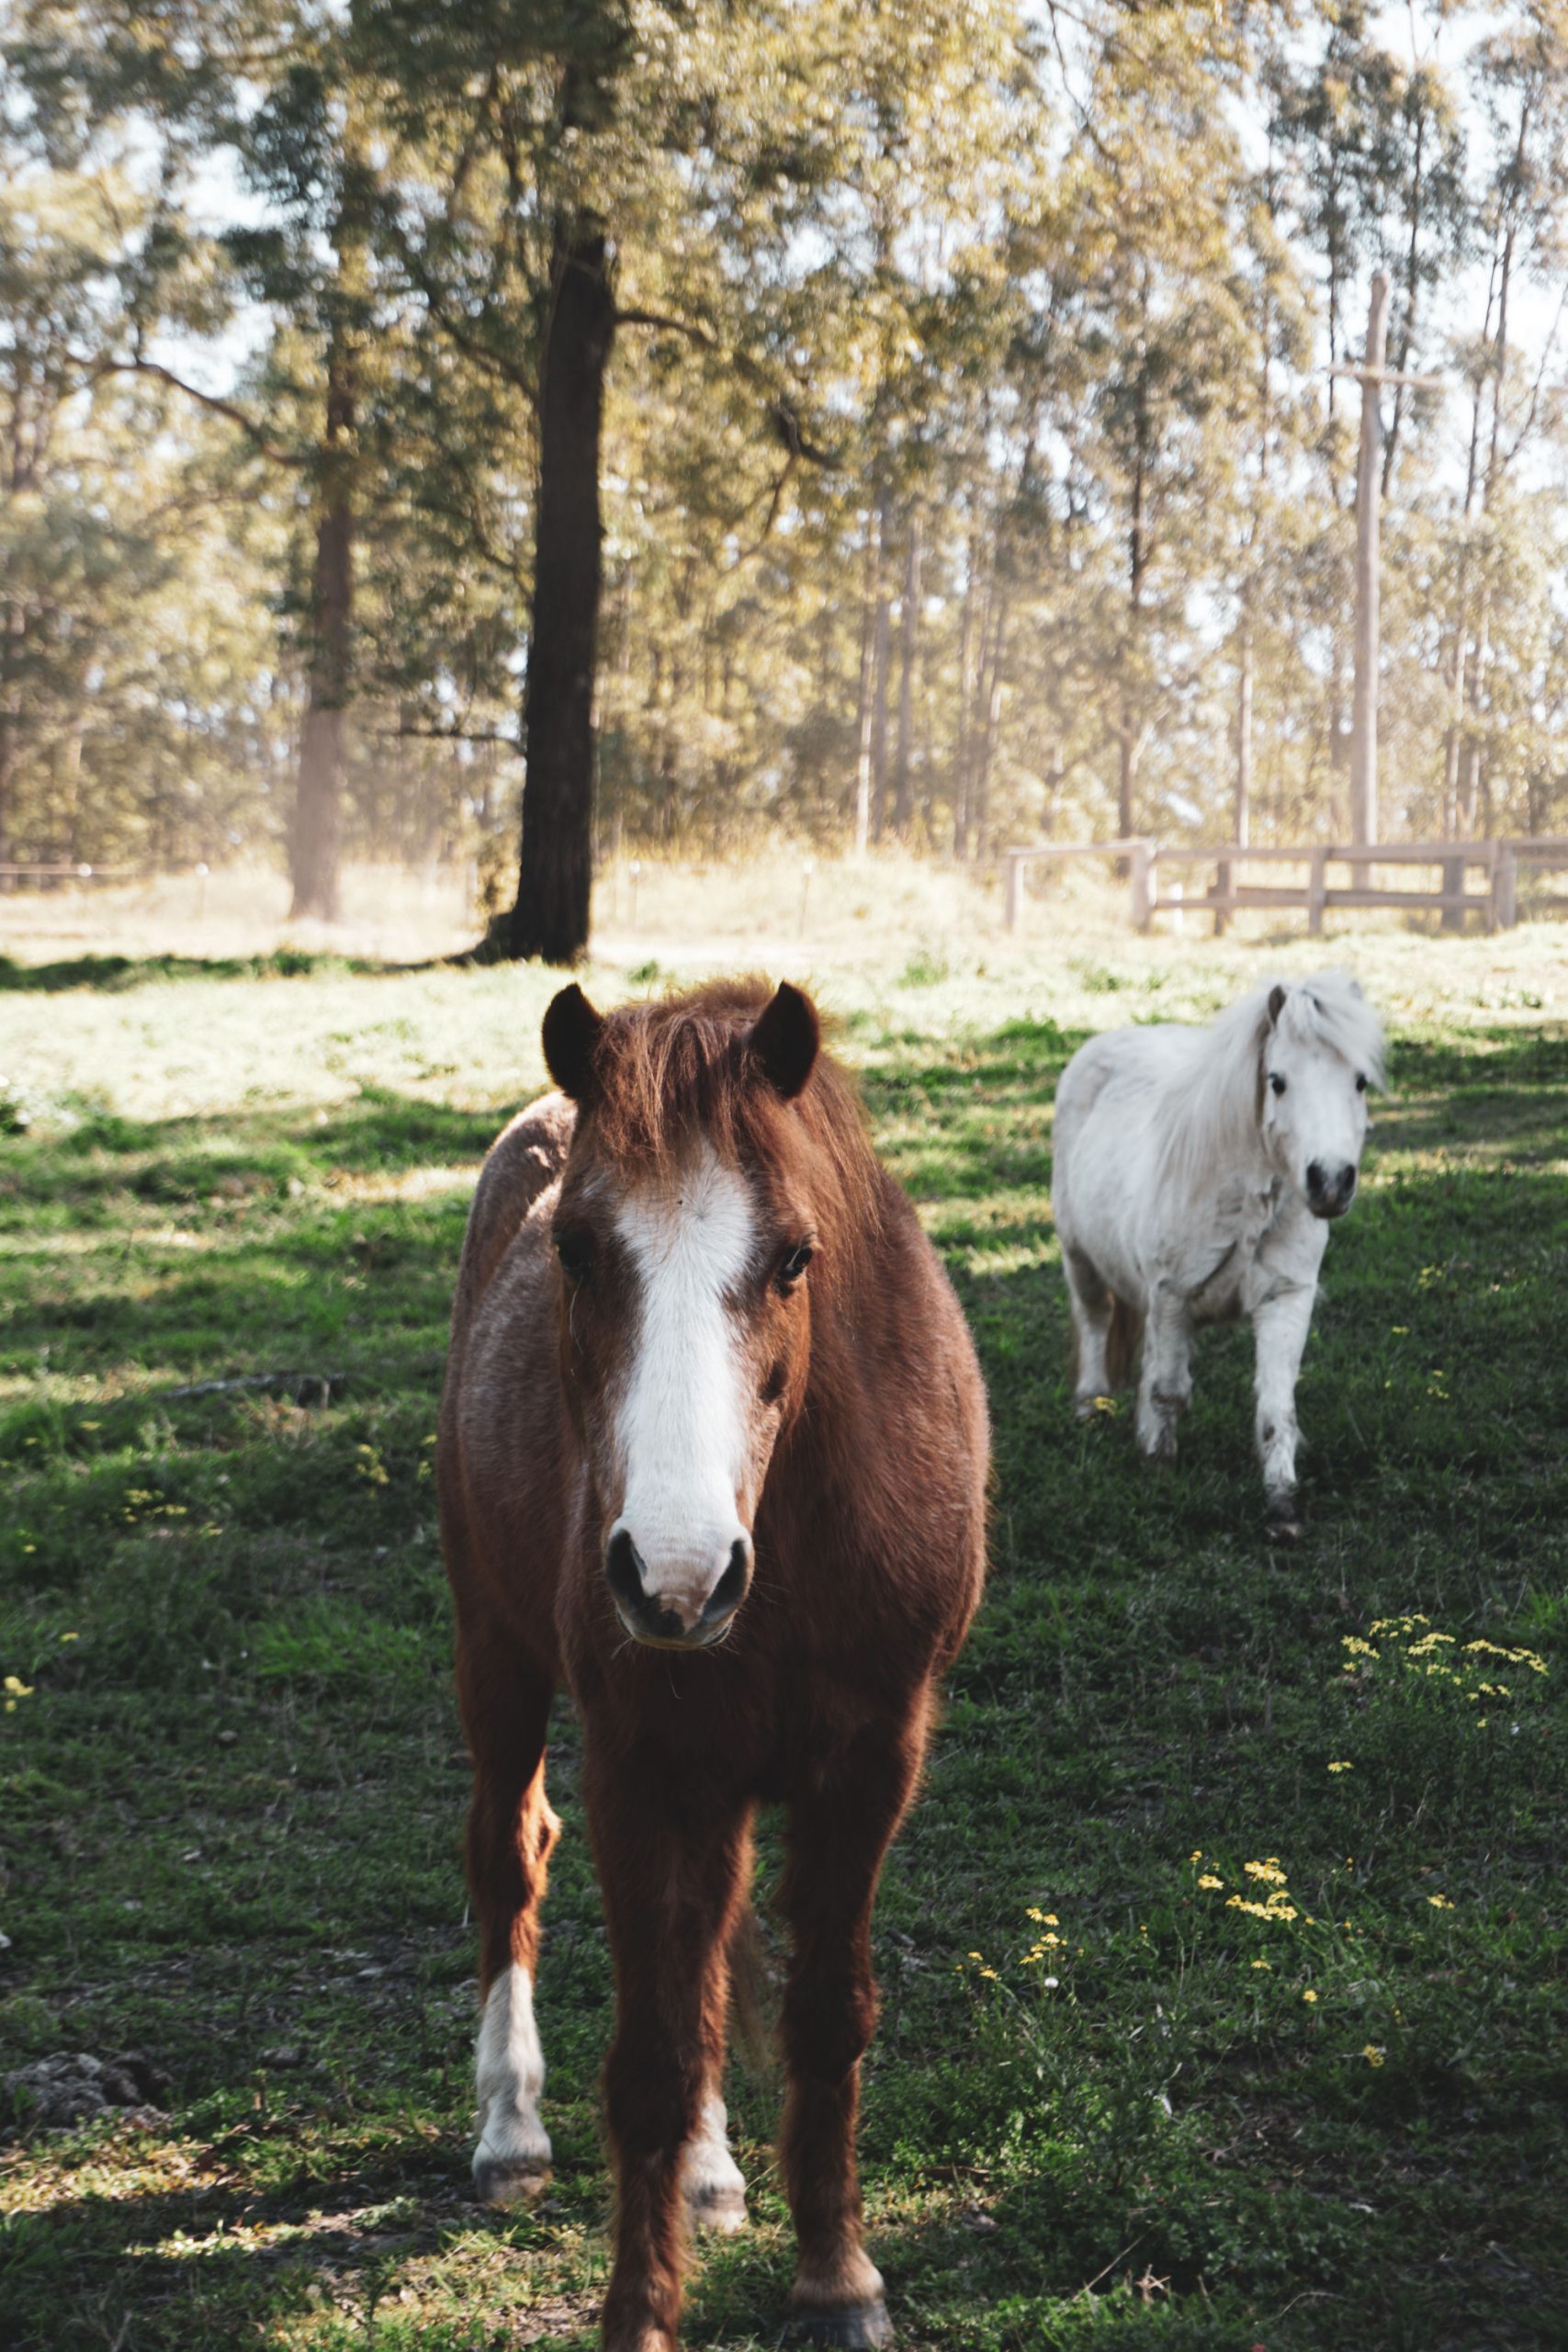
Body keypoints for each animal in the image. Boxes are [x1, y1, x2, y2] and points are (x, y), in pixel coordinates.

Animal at [434, 978, 987, 2352]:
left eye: (791, 1256)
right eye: (577, 1251)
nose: (675, 1572)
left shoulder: (870, 1761)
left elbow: (821, 2017)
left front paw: (837, 2278)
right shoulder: (643, 1768)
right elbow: (650, 2061)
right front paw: (639, 2314)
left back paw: (711, 2171)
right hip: (494, 1656)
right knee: (507, 1853)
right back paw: (510, 2131)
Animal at [1053, 964, 1382, 1533]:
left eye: (1359, 1081)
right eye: (1278, 1081)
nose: (1330, 1181)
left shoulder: (1285, 1301)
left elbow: (1276, 1407)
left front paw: (1282, 1505)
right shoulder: (1171, 1295)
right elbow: (1167, 1388)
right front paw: (1159, 1470)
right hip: (1081, 1259)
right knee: (1093, 1318)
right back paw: (1090, 1405)